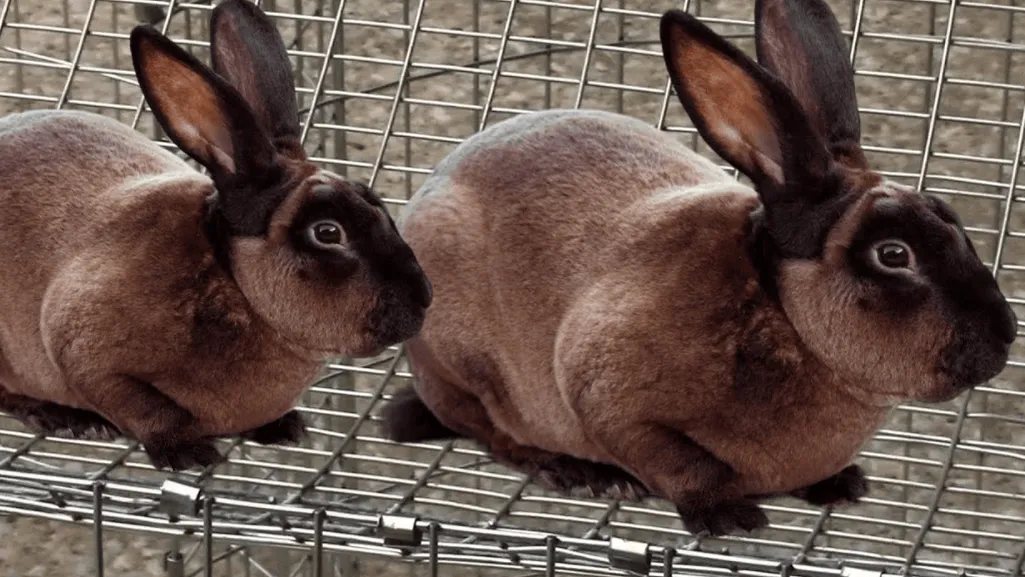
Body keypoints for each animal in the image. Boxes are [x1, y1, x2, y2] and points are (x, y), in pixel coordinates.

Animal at [0, 0, 432, 471]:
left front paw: (283, 428)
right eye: (327, 232)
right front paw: (188, 454)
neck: (232, 281)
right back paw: (63, 417)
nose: (424, 298)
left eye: (376, 203)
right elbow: (143, 408)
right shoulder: (86, 356)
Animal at [381, 0, 1018, 537]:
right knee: (486, 426)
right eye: (893, 254)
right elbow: (680, 464)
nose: (1004, 336)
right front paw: (729, 518)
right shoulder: (612, 403)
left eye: (949, 217)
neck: (781, 312)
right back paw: (578, 473)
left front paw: (839, 485)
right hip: (460, 361)